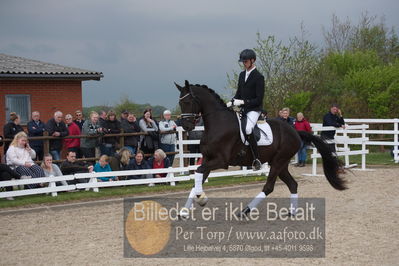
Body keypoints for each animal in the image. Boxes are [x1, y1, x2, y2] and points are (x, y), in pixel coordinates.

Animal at [176, 80, 346, 216]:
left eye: (188, 102)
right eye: (180, 103)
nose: (186, 126)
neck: (218, 124)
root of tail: (295, 131)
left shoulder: (220, 161)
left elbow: (198, 172)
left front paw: (201, 198)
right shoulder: (208, 159)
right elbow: (197, 177)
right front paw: (185, 210)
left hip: (278, 162)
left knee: (269, 187)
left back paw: (245, 211)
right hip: (280, 164)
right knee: (292, 184)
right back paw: (292, 212)